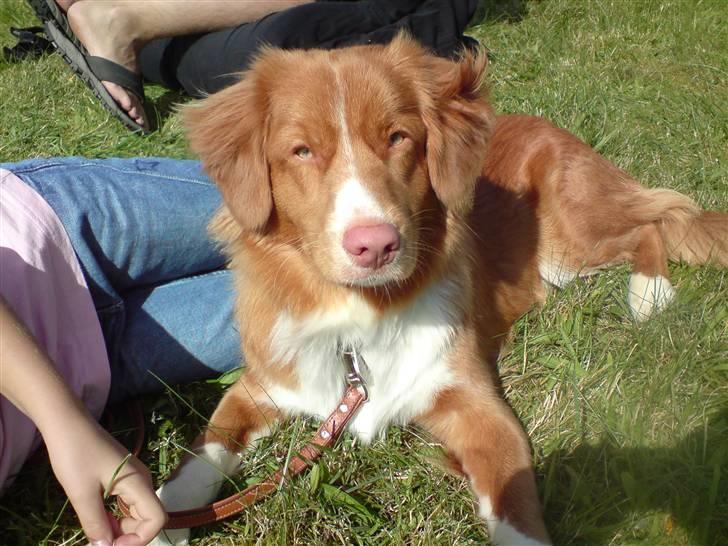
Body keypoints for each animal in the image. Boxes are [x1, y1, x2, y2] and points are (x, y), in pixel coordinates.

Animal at [149, 35, 728, 544]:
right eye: (301, 151)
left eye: (398, 137)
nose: (375, 245)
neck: (361, 315)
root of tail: (549, 125)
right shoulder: (262, 385)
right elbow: (206, 448)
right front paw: (156, 516)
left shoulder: (476, 405)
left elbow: (515, 503)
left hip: (573, 239)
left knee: (654, 221)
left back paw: (649, 293)